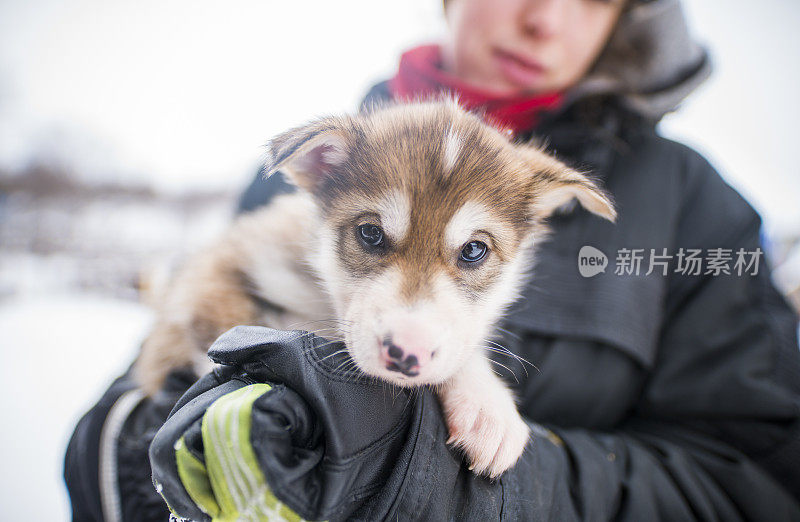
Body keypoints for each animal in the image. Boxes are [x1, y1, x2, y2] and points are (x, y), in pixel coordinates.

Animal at [138, 99, 616, 478]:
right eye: (370, 234)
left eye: (474, 250)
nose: (406, 353)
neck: (324, 299)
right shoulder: (220, 264)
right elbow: (212, 325)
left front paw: (488, 407)